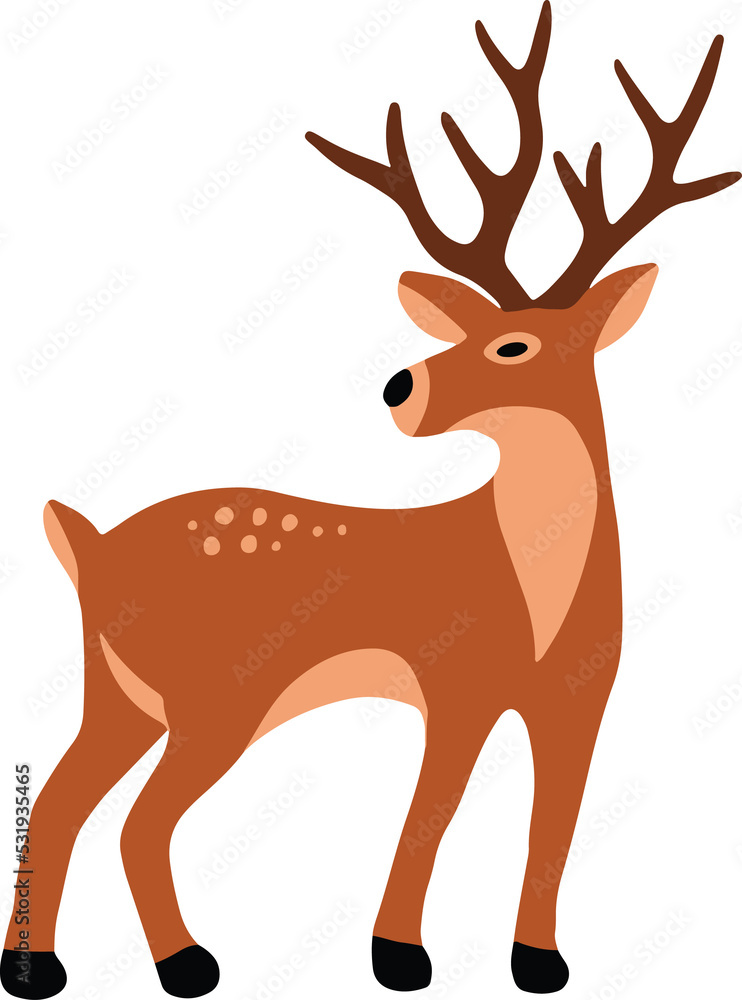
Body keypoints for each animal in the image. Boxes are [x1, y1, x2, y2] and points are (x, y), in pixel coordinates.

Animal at [2, 4, 738, 998]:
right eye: (467, 331)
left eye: (512, 344)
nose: (399, 385)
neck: (537, 595)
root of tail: (85, 544)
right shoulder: (454, 680)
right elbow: (436, 809)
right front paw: (399, 956)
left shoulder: (584, 696)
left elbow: (556, 824)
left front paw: (539, 963)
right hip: (213, 698)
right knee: (136, 820)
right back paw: (188, 964)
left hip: (120, 693)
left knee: (64, 799)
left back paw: (40, 969)